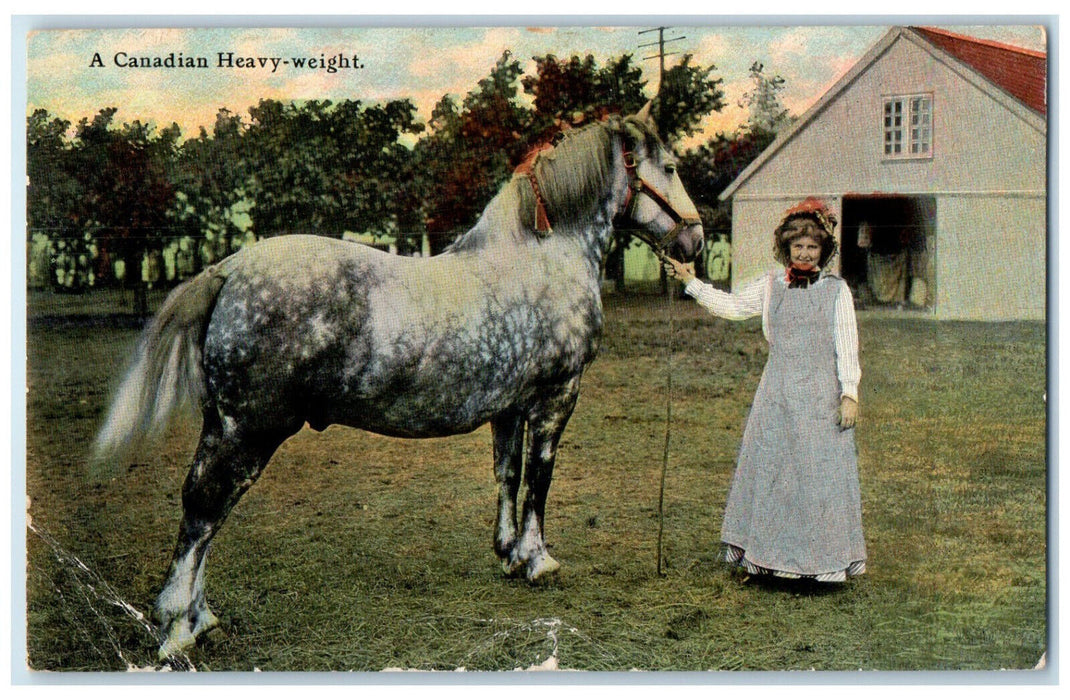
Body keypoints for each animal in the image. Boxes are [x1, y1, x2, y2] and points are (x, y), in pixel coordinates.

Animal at [96, 107, 706, 659]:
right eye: (671, 166)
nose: (695, 242)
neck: (541, 255)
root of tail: (227, 269)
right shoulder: (556, 398)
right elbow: (540, 479)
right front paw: (539, 561)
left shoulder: (510, 406)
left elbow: (508, 474)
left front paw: (508, 553)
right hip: (249, 429)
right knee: (205, 507)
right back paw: (178, 629)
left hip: (225, 426)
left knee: (208, 511)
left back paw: (201, 619)